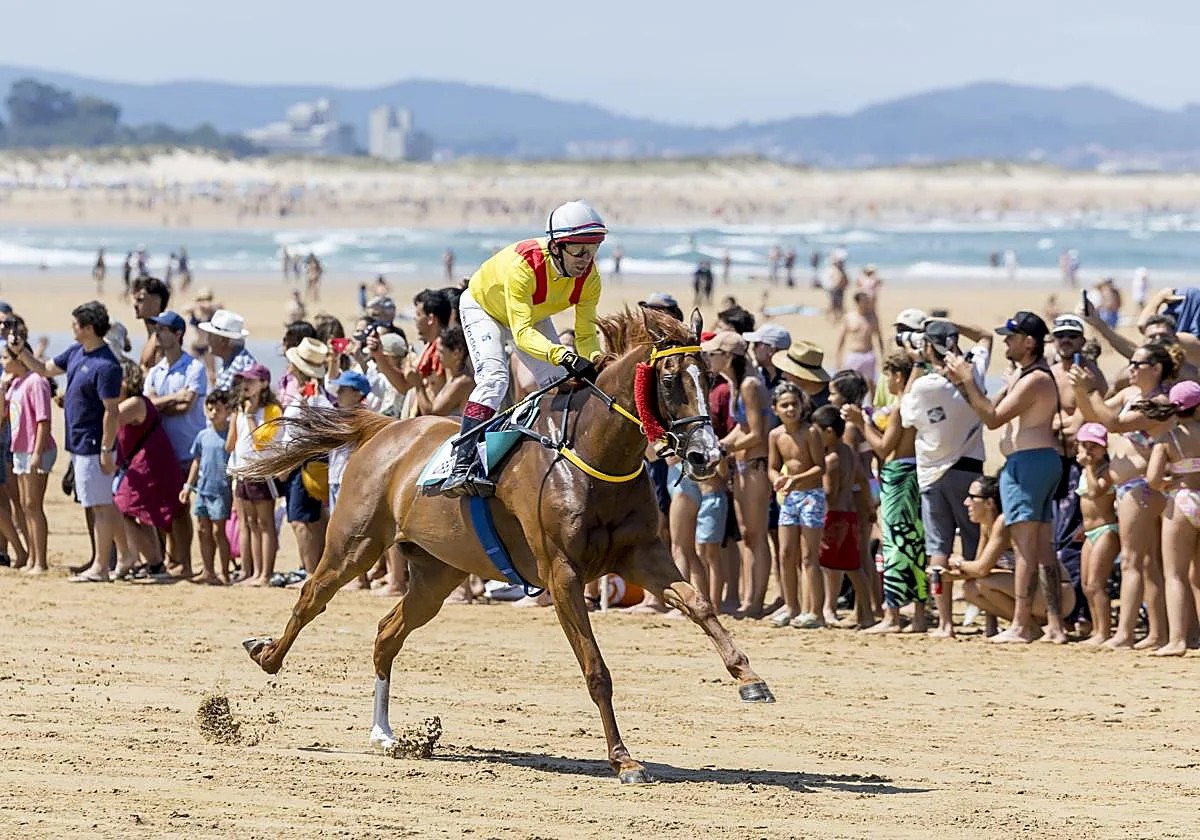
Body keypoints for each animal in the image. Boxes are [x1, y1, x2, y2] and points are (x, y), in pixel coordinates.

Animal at [239, 307, 775, 784]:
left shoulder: (643, 556)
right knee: (312, 597)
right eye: (669, 380)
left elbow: (700, 603)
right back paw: (267, 655)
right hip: (355, 543)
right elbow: (596, 669)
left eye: (710, 376)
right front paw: (624, 760)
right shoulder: (562, 573)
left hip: (437, 573)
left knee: (388, 632)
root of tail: (388, 427)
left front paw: (751, 679)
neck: (591, 454)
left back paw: (385, 733)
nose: (706, 455)